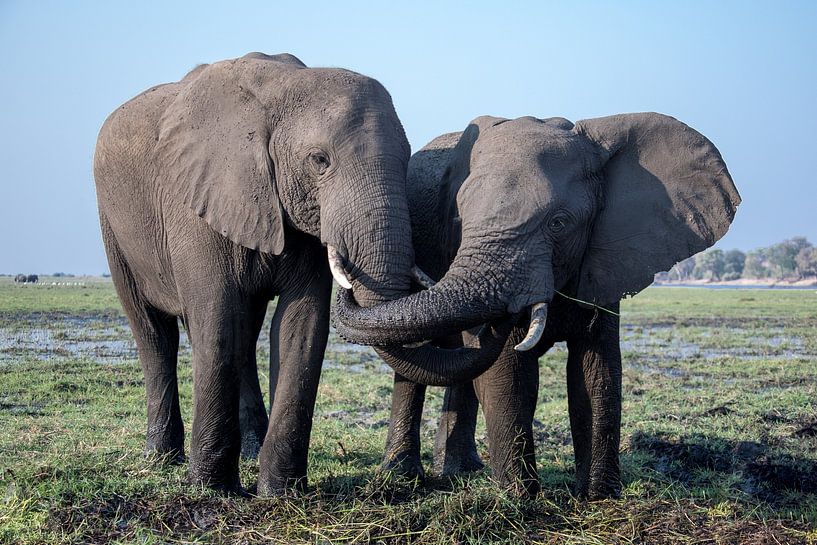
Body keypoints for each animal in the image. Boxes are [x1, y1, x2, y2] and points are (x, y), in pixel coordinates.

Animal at [94, 52, 485, 495]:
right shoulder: (196, 201)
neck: (281, 89)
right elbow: (218, 318)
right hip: (114, 225)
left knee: (243, 335)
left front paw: (280, 492)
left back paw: (247, 451)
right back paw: (163, 458)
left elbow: (302, 324)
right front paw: (213, 490)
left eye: (406, 160)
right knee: (155, 334)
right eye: (320, 160)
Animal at [333, 113, 740, 498]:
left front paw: (599, 497)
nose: (508, 311)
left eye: (558, 223)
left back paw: (461, 472)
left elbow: (596, 370)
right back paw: (404, 475)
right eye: (459, 219)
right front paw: (521, 499)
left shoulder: (604, 256)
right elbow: (509, 371)